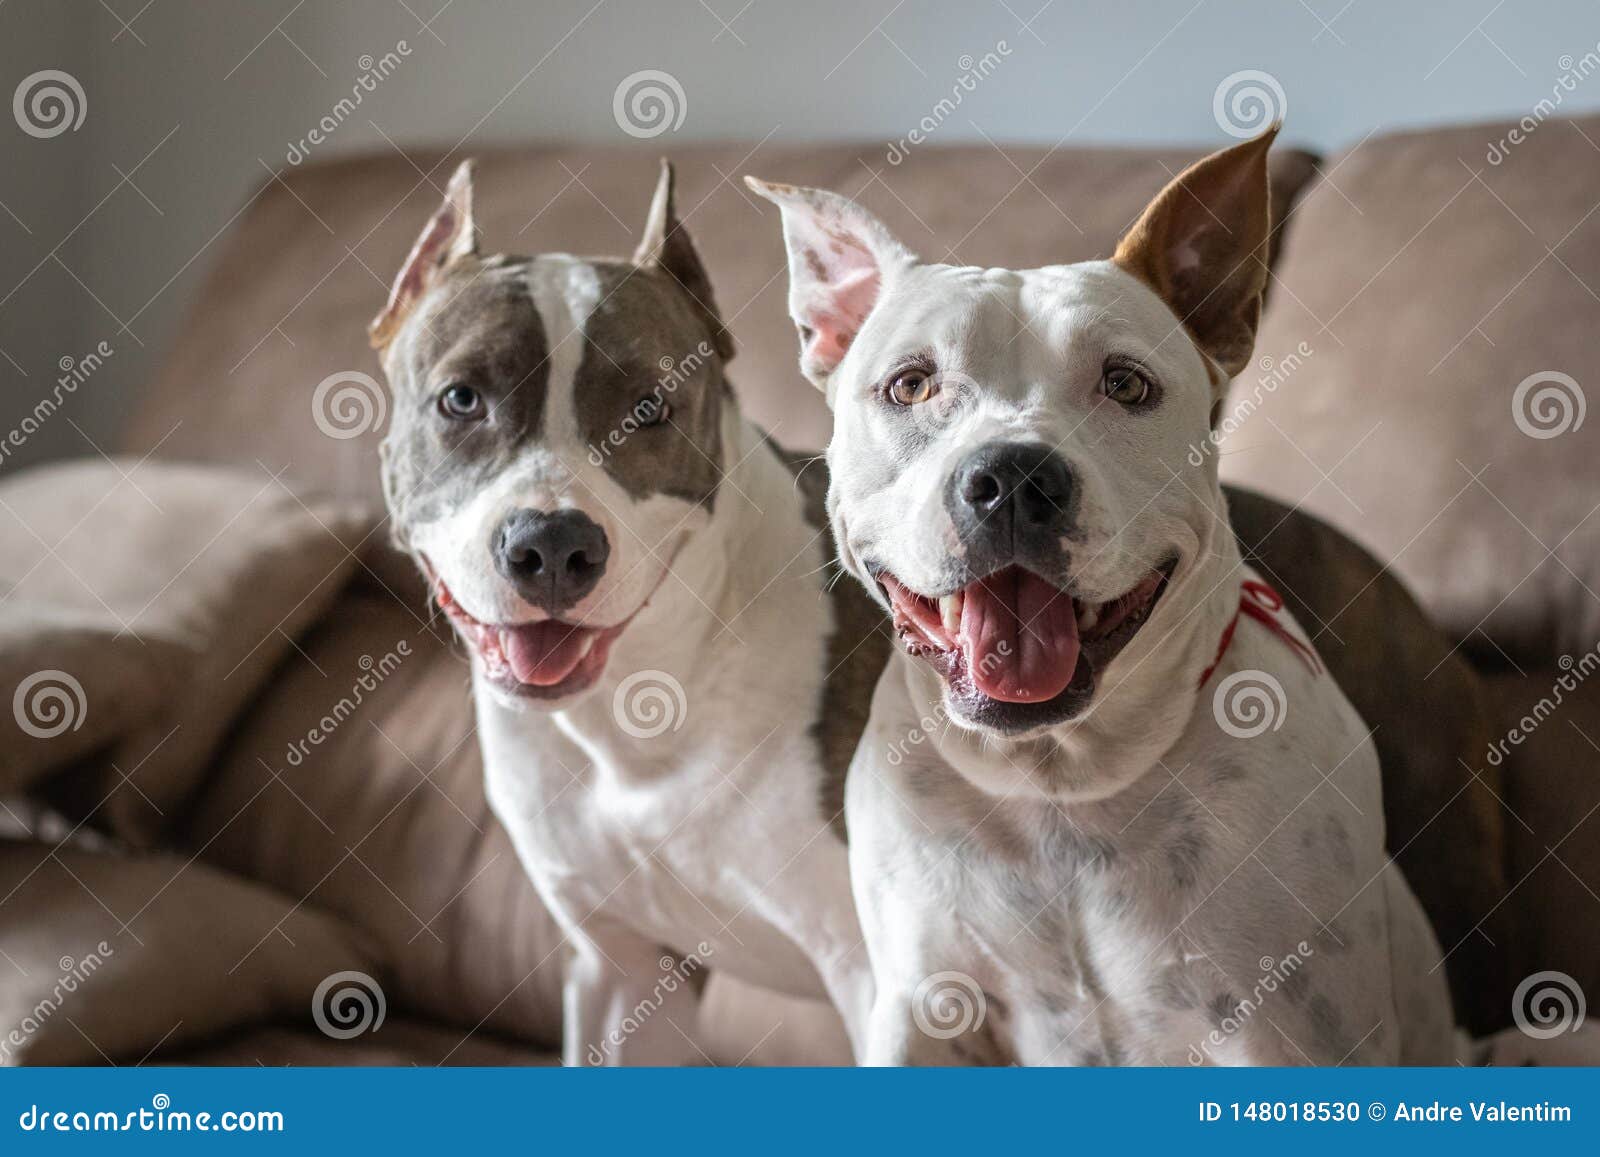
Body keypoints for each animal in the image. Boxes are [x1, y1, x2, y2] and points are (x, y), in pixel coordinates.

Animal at [368, 163, 883, 1068]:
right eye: (461, 399)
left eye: (649, 409)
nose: (550, 544)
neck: (646, 699)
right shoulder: (620, 966)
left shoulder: (888, 982)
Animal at [748, 128, 1472, 1068]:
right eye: (910, 384)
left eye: (1127, 384)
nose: (1012, 479)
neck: (1061, 786)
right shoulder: (923, 1009)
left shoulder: (1290, 1033)